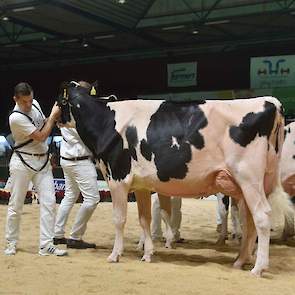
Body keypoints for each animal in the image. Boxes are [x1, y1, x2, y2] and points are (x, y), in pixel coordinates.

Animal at [58, 81, 294, 278]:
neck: (107, 121)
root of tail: (271, 102)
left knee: (262, 216)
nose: (56, 122)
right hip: (254, 183)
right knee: (250, 221)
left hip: (248, 178)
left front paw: (115, 255)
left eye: (59, 102)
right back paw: (240, 261)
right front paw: (147, 254)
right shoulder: (141, 185)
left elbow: (119, 219)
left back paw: (258, 268)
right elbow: (144, 219)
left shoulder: (117, 177)